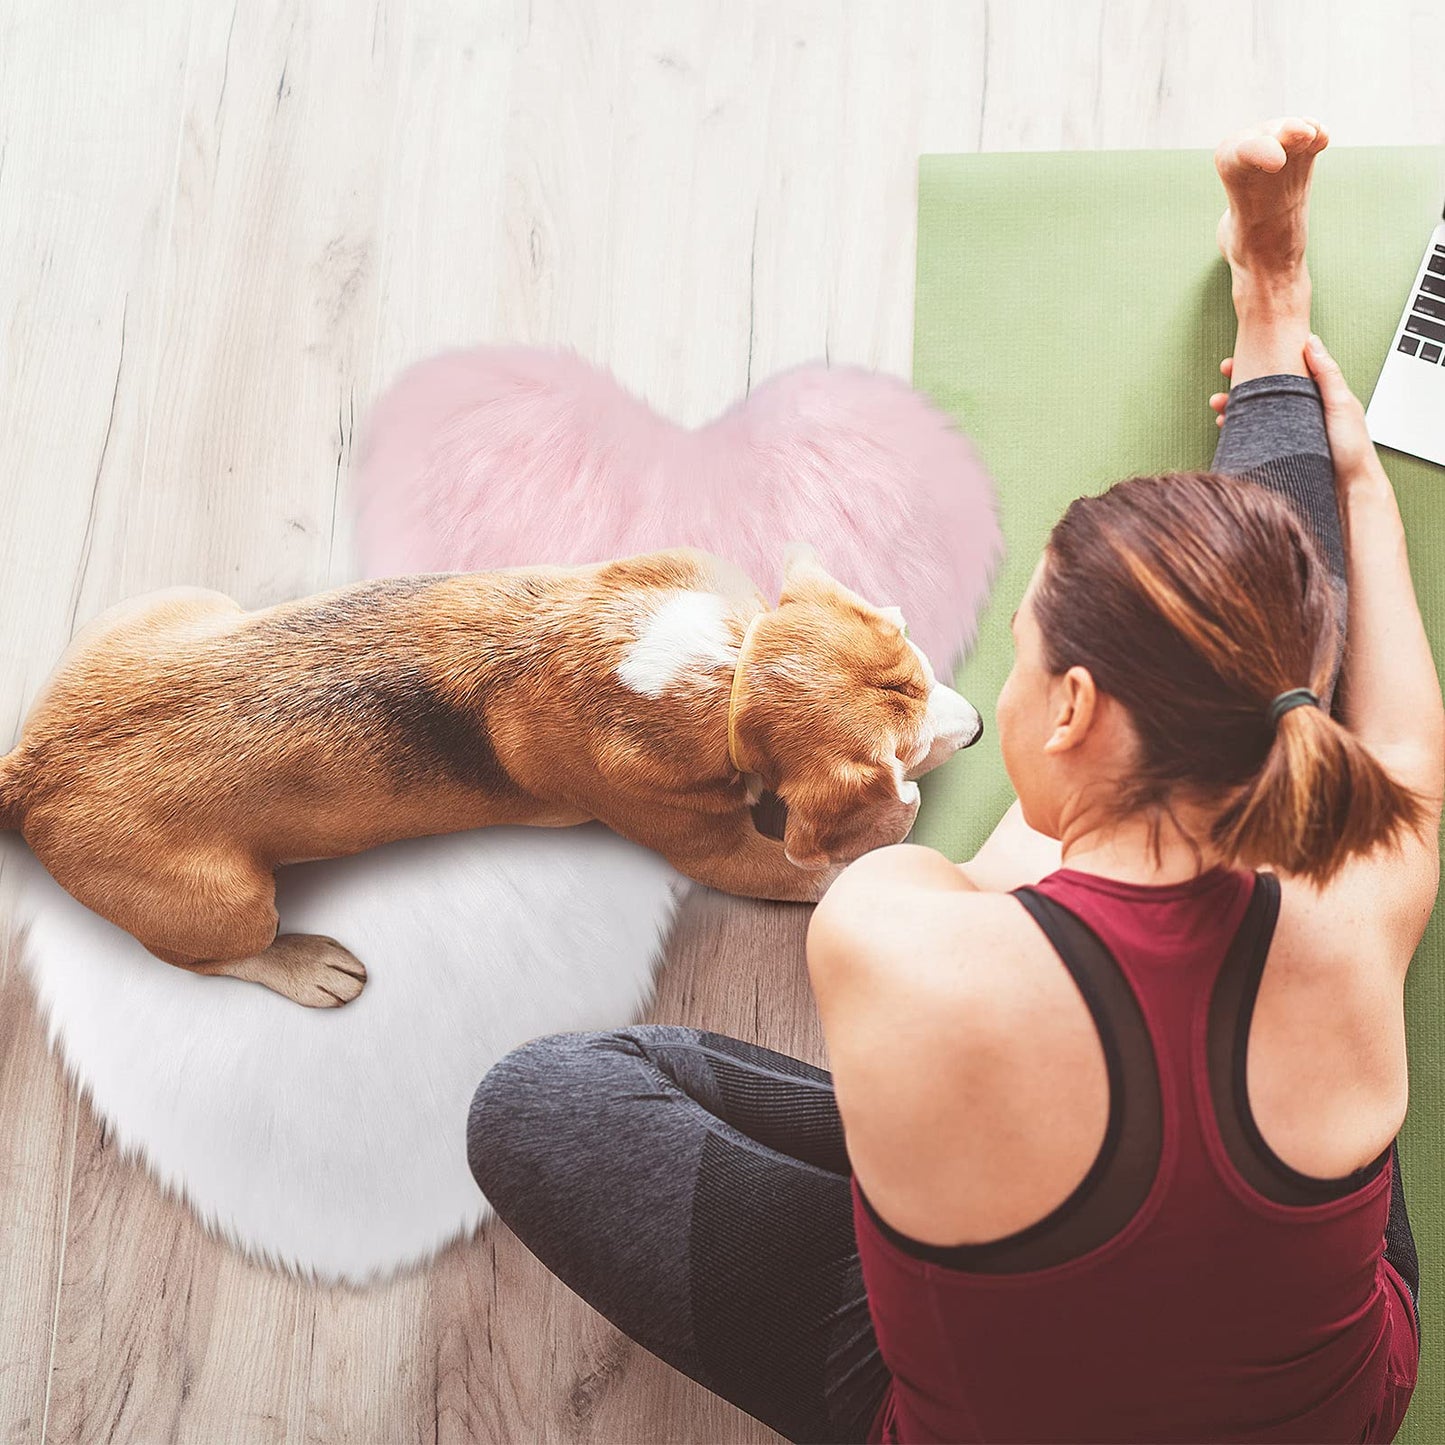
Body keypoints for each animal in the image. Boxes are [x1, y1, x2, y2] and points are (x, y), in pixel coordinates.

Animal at [0, 546, 982, 1011]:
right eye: (903, 754)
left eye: (921, 667)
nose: (974, 730)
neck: (724, 669)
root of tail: (28, 770)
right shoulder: (719, 853)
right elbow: (826, 870)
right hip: (227, 898)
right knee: (212, 956)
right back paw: (306, 964)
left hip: (182, 605)